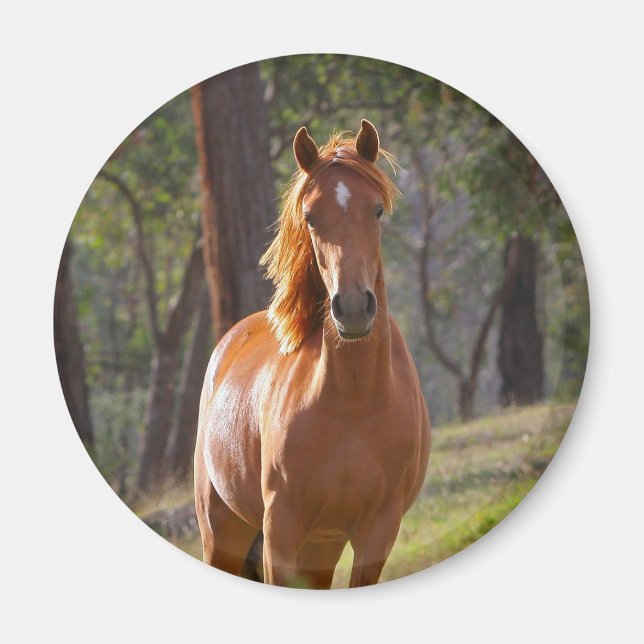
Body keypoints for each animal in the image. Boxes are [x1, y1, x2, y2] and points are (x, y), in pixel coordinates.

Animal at [194, 120, 431, 588]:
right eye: (310, 216)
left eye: (377, 210)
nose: (353, 307)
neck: (354, 403)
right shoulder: (281, 530)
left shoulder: (377, 532)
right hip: (224, 534)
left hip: (322, 547)